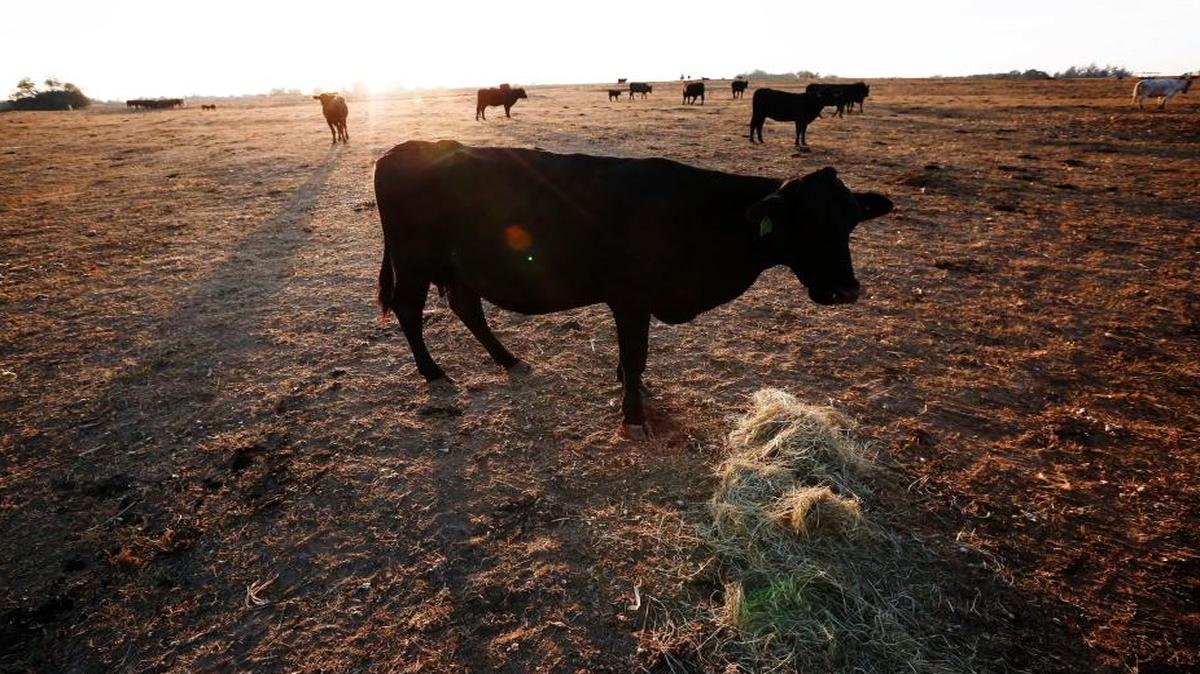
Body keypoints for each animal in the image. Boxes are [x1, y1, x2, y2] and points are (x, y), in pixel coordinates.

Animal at [373, 140, 893, 438]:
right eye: (805, 223)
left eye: (851, 222)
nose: (847, 290)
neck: (698, 216)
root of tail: (404, 148)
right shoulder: (630, 298)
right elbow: (636, 352)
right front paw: (634, 415)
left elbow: (633, 356)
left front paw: (629, 387)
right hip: (414, 263)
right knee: (408, 310)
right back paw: (433, 372)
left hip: (456, 267)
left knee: (466, 307)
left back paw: (509, 360)